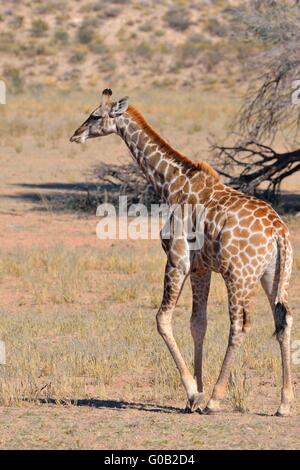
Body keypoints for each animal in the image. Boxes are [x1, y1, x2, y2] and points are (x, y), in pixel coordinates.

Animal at [69, 88, 292, 414]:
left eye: (95, 115)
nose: (76, 134)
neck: (170, 183)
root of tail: (279, 233)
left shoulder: (177, 260)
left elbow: (163, 319)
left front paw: (194, 394)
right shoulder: (201, 267)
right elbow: (198, 323)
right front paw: (193, 395)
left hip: (238, 275)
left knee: (240, 325)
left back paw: (216, 399)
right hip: (273, 275)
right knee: (283, 320)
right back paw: (284, 403)